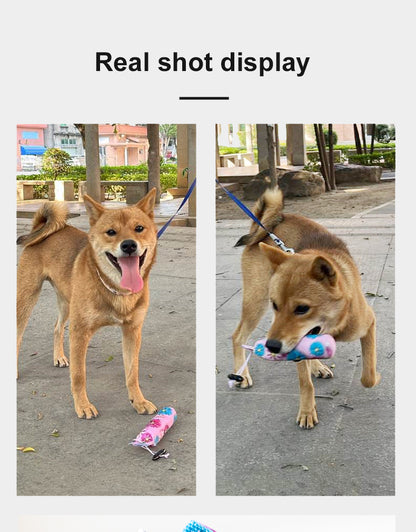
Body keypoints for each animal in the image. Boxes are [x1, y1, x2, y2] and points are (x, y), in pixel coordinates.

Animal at [17, 190, 158, 420]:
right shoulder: (79, 332)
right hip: (26, 298)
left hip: (66, 302)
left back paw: (59, 357)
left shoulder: (132, 332)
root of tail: (40, 229)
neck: (115, 290)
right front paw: (82, 405)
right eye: (111, 232)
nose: (129, 245)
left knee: (57, 328)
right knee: (18, 336)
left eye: (139, 228)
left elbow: (132, 373)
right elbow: (78, 375)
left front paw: (138, 401)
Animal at [231, 187, 380, 428]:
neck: (334, 324)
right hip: (256, 300)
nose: (272, 346)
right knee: (238, 336)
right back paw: (242, 374)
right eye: (276, 305)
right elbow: (305, 383)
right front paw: (307, 411)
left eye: (302, 308)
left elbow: (368, 376)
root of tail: (264, 225)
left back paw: (317, 366)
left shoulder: (368, 324)